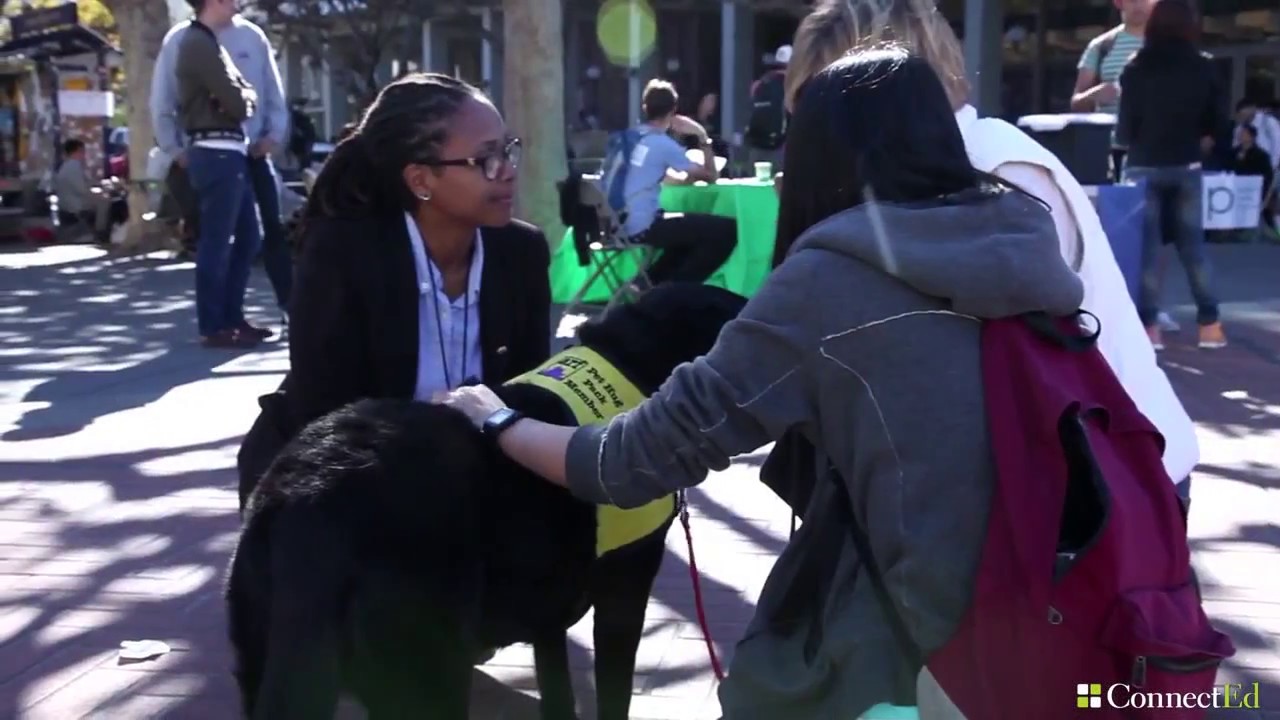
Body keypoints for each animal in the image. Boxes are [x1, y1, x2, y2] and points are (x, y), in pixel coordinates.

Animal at [224, 283, 747, 717]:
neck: (628, 365)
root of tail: (308, 500)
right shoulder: (625, 590)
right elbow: (613, 695)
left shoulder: (548, 616)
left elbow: (558, 694)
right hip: (428, 672)